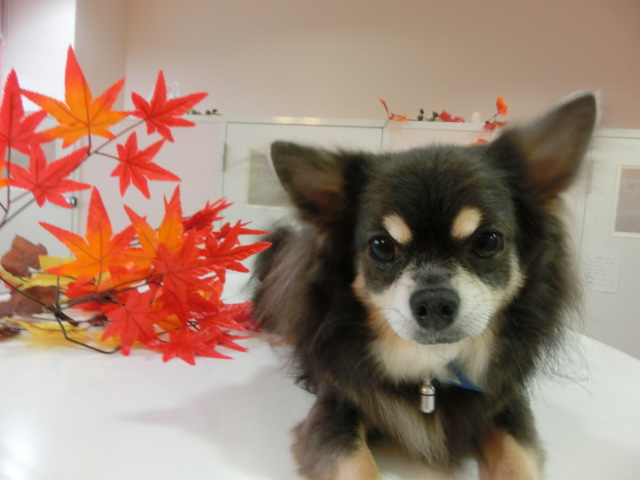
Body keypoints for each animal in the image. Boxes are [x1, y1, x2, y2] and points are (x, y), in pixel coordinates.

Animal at [252, 92, 597, 479]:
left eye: (487, 242)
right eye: (382, 246)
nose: (433, 302)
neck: (430, 368)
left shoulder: (507, 406)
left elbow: (517, 460)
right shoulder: (333, 412)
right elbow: (356, 465)